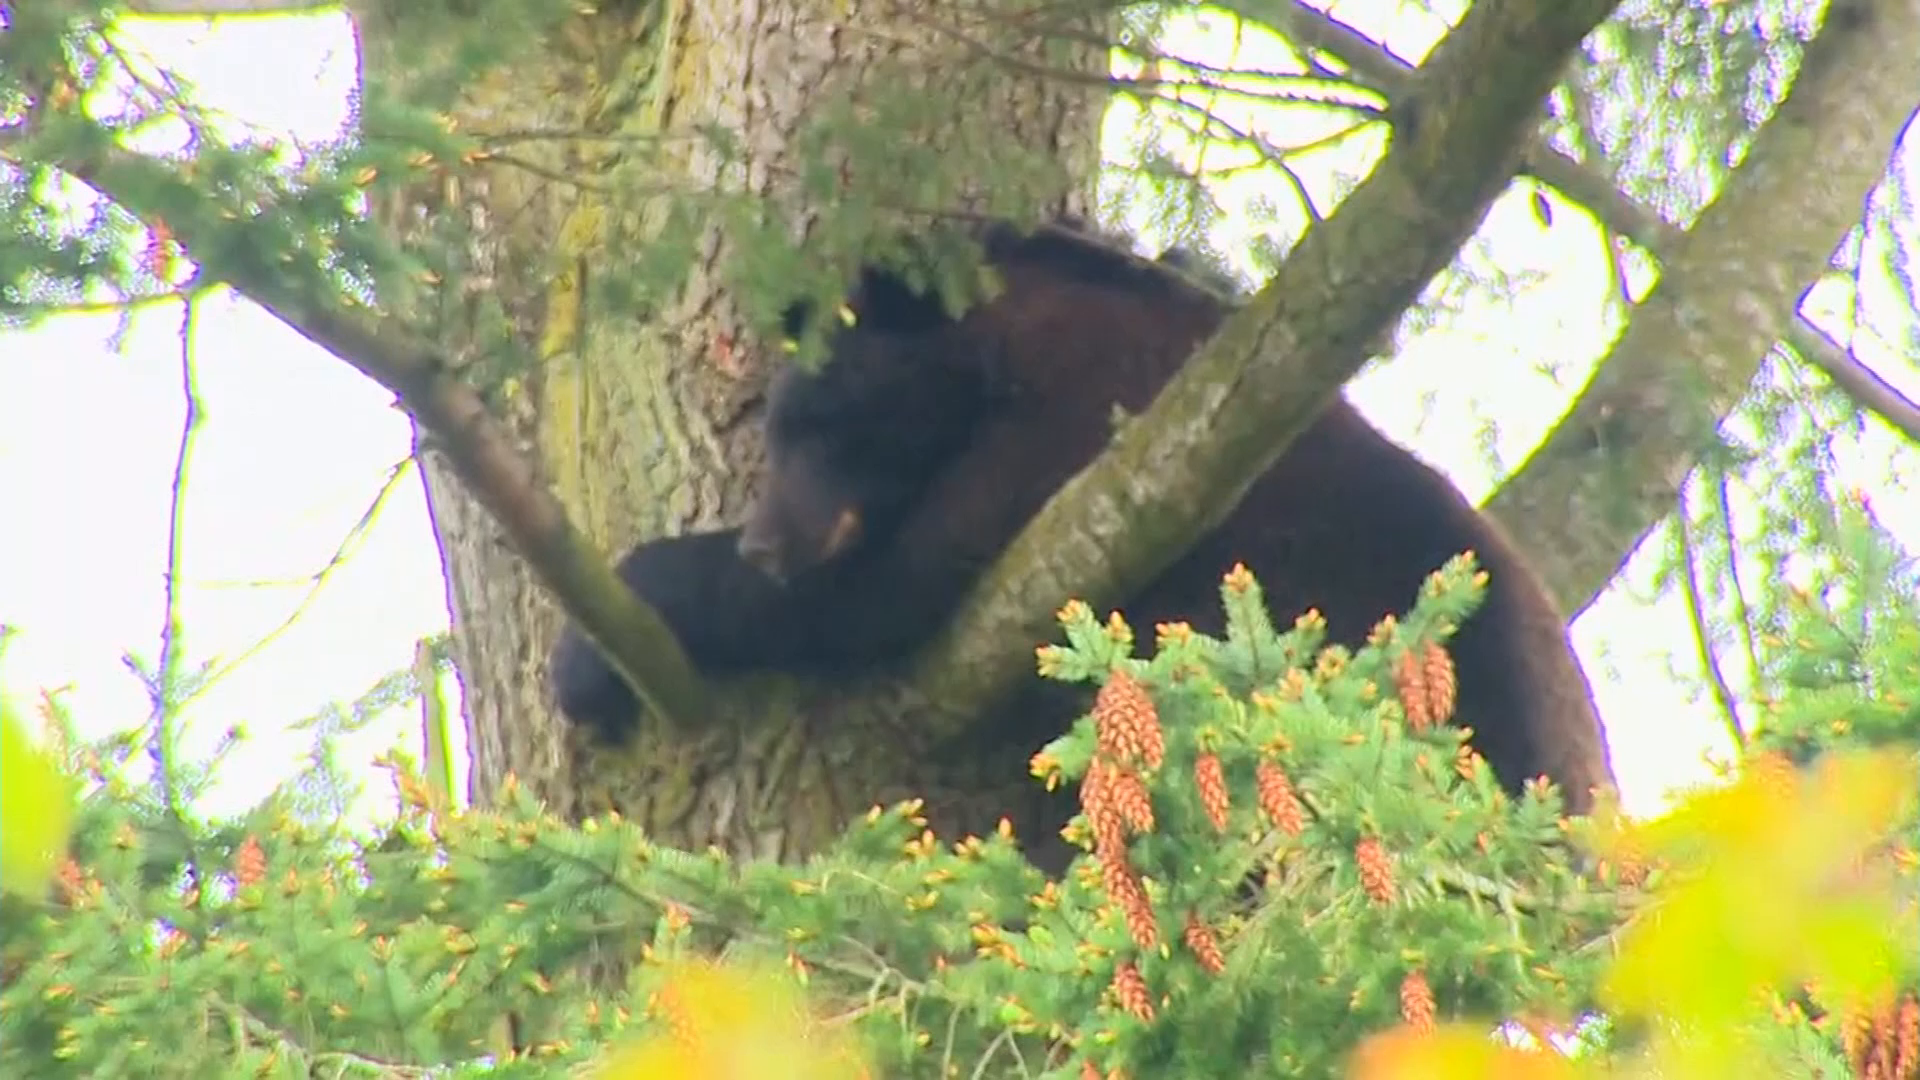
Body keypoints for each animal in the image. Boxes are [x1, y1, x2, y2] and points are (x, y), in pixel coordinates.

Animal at [546, 218, 1616, 827]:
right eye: (774, 432)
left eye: (824, 423)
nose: (769, 545)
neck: (992, 365)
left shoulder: (1060, 440)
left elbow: (889, 592)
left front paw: (597, 650)